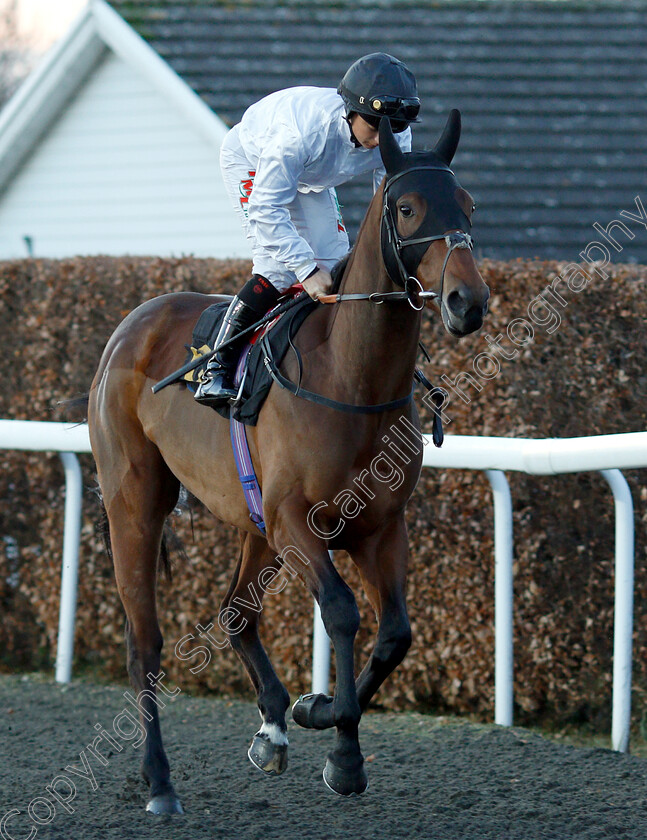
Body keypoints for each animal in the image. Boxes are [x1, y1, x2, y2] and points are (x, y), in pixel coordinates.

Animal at [88, 113, 488, 812]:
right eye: (407, 208)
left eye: (466, 204)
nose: (469, 301)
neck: (351, 377)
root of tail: (130, 325)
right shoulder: (296, 521)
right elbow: (343, 612)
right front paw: (343, 751)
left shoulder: (380, 527)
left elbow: (396, 633)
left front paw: (313, 711)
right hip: (135, 503)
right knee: (145, 644)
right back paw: (160, 781)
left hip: (254, 522)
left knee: (234, 612)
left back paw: (271, 725)